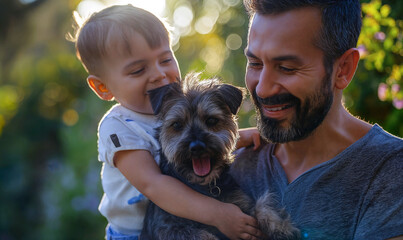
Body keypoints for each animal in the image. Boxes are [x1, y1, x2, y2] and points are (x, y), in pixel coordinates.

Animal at [140, 74, 298, 239]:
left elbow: (260, 206)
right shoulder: (168, 227)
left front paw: (280, 226)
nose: (197, 147)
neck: (206, 187)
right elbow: (202, 235)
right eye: (177, 125)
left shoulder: (241, 204)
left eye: (211, 120)